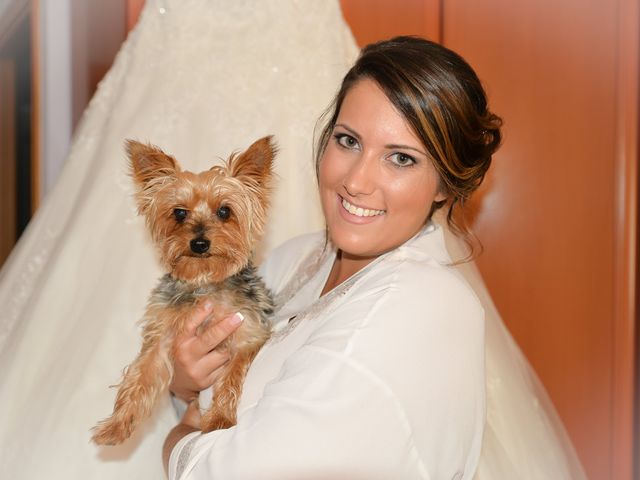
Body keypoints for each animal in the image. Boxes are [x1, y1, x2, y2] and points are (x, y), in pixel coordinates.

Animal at [92, 136, 276, 446]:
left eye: (224, 211)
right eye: (179, 213)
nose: (199, 243)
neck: (204, 283)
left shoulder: (249, 332)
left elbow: (231, 374)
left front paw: (219, 418)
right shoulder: (162, 334)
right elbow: (140, 376)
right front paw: (116, 425)